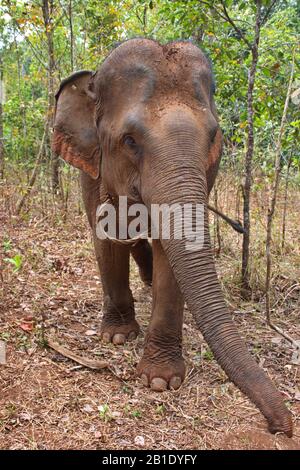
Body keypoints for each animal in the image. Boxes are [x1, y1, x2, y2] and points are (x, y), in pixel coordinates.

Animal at [51, 37, 292, 436]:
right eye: (129, 140)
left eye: (213, 137)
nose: (282, 427)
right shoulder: (92, 170)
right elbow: (107, 238)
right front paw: (117, 336)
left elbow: (171, 256)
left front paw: (161, 380)